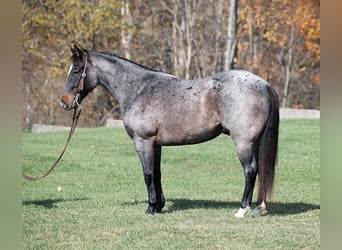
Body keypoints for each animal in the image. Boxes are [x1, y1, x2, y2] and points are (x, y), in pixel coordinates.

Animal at [60, 43, 280, 217]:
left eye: (76, 71)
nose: (64, 101)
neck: (138, 89)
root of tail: (263, 84)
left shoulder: (143, 142)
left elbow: (148, 173)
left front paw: (150, 208)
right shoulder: (156, 145)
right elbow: (157, 173)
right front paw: (159, 206)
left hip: (243, 142)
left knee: (250, 170)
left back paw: (242, 209)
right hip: (255, 142)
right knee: (260, 170)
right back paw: (259, 207)